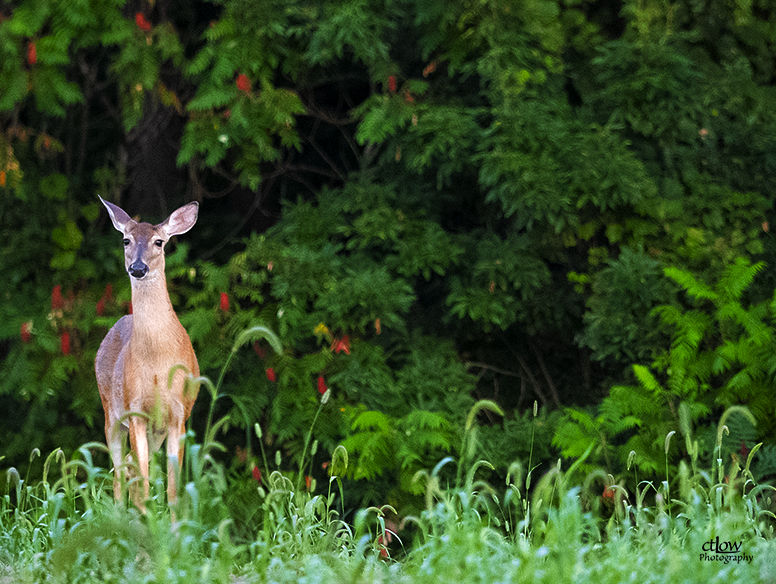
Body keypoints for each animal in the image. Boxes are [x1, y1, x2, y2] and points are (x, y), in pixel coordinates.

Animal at [95, 196, 200, 512]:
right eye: (126, 240)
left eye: (159, 242)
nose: (138, 268)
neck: (156, 361)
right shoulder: (136, 411)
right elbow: (142, 485)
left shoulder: (178, 414)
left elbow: (174, 490)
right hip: (111, 411)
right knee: (120, 471)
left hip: (157, 430)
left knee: (129, 467)